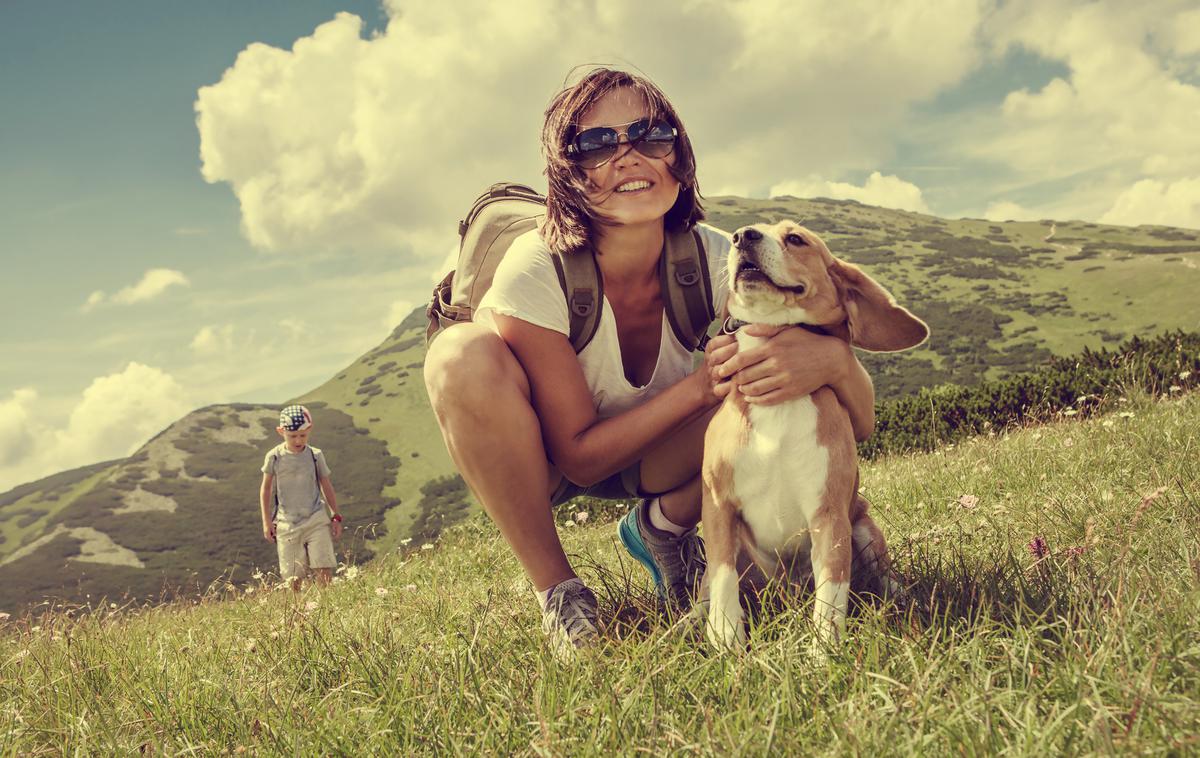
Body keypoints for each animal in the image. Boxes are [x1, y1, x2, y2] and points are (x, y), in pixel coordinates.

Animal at [700, 219, 926, 652]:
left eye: (795, 238)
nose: (743, 236)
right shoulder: (719, 507)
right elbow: (722, 582)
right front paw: (726, 643)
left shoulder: (829, 515)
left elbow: (831, 597)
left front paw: (824, 655)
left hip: (863, 526)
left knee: (883, 574)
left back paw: (904, 598)